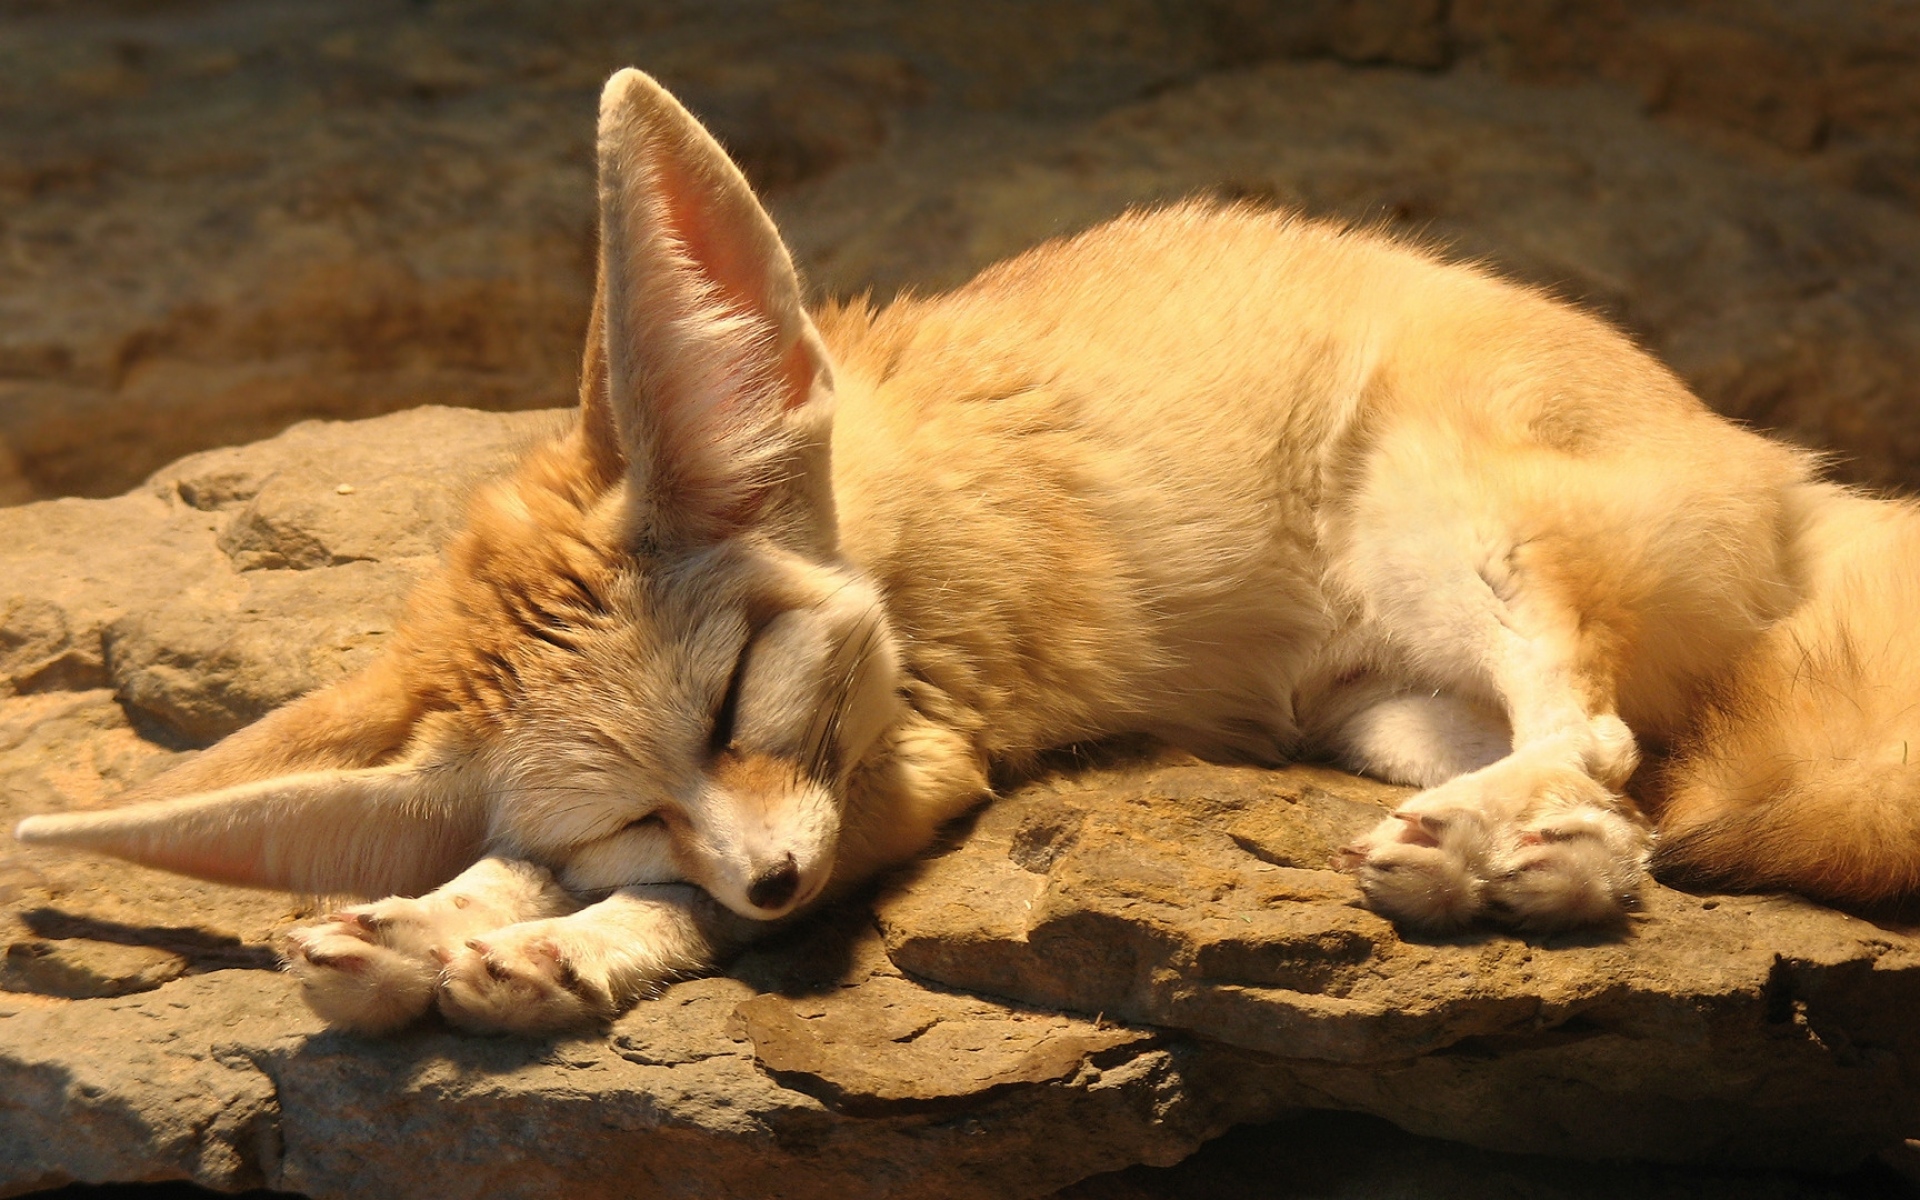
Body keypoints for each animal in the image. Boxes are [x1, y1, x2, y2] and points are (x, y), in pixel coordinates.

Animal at [14, 68, 1920, 1036]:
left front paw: (559, 950)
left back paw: (1491, 846)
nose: (779, 887)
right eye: (628, 800)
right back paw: (1514, 864)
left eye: (737, 702)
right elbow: (531, 869)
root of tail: (1786, 467)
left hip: (1452, 530)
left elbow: (659, 916)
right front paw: (435, 920)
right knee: (1633, 799)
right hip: (1373, 707)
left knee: (1592, 740)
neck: (865, 510)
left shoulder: (906, 764)